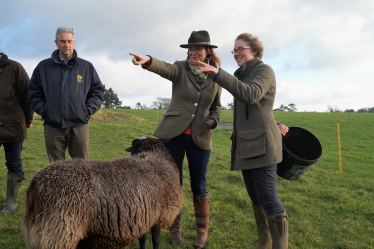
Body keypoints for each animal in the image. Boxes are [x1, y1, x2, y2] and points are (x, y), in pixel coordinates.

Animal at [21, 138, 183, 249]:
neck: (154, 157)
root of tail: (36, 184)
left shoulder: (144, 214)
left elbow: (143, 239)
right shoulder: (161, 215)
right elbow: (156, 241)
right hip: (60, 231)